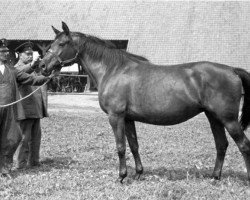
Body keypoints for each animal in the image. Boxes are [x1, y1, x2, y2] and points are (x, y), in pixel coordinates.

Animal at [39, 21, 250, 183]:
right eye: (52, 43)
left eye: (62, 43)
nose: (42, 65)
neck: (113, 70)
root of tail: (232, 69)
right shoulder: (128, 119)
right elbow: (134, 145)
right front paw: (139, 174)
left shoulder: (116, 117)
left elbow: (121, 147)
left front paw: (122, 176)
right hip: (213, 117)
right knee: (221, 145)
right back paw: (215, 177)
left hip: (229, 120)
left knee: (243, 145)